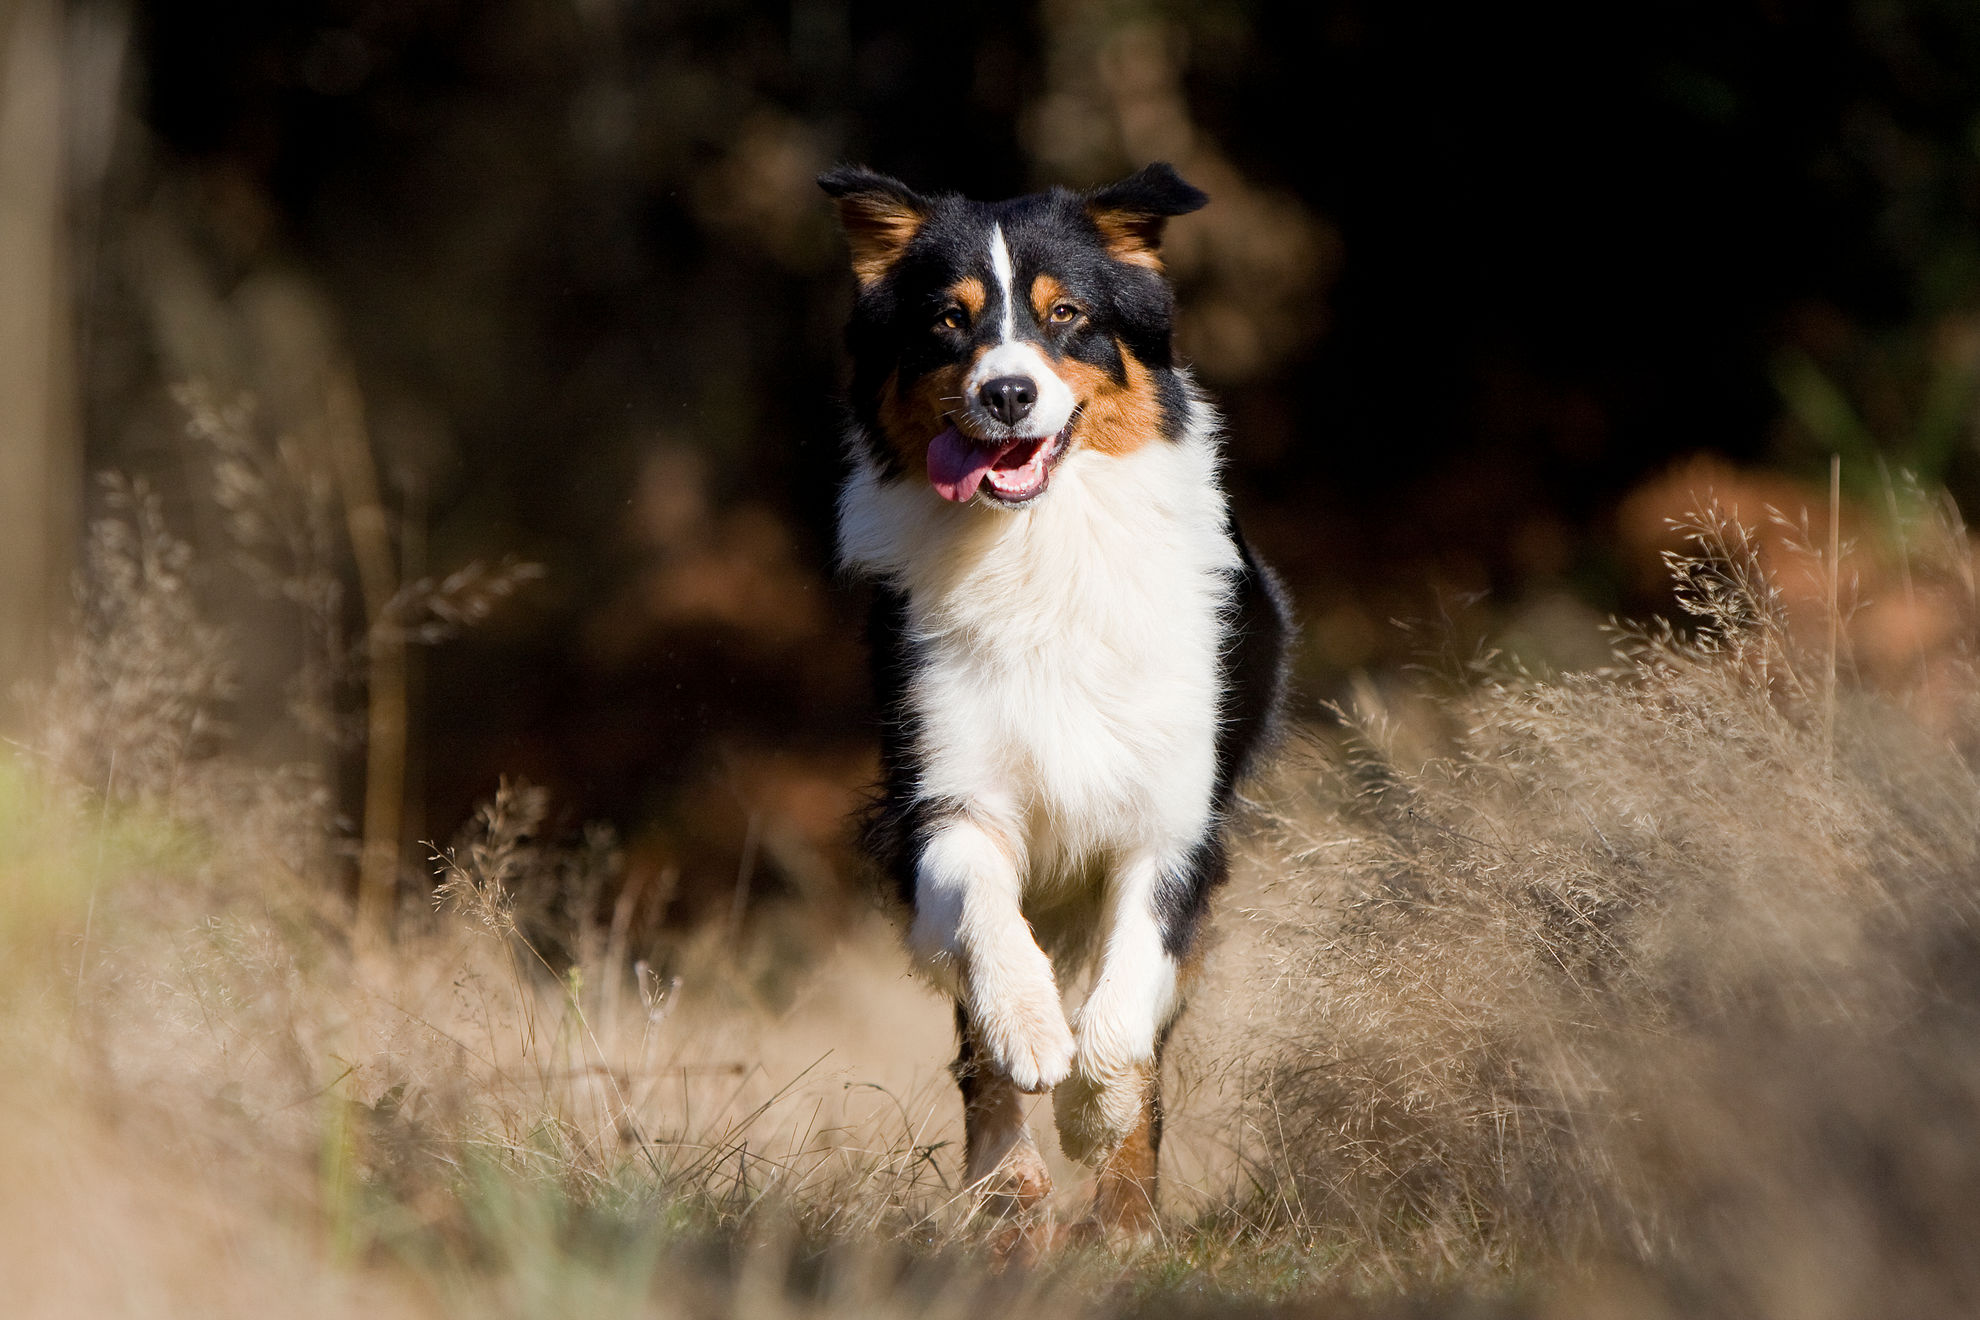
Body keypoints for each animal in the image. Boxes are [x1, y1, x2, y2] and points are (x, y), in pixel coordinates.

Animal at [815, 160, 1290, 1242]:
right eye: (948, 322)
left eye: (1066, 313)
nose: (1007, 391)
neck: (1040, 549)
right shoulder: (942, 798)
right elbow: (988, 923)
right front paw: (1033, 1032)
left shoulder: (1174, 823)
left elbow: (1127, 1009)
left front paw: (1094, 1115)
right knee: (977, 1055)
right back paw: (1009, 1195)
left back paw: (1121, 1217)